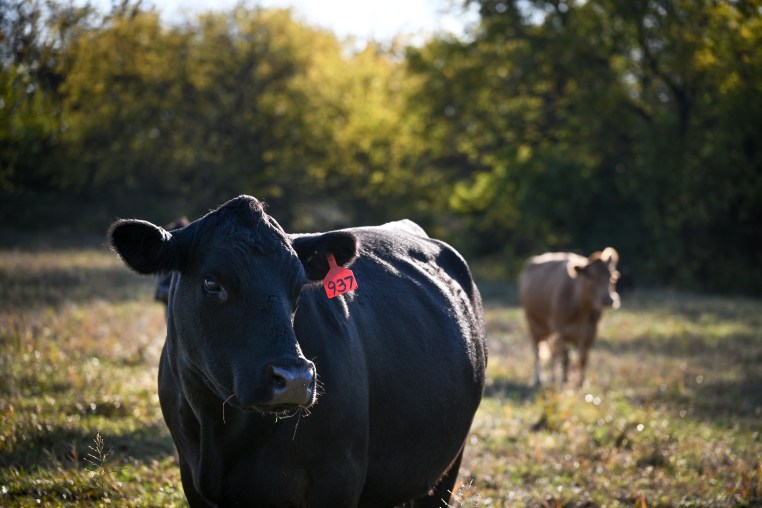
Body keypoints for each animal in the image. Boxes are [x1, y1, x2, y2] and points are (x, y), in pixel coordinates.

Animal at [108, 195, 487, 507]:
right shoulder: (193, 479)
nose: (294, 379)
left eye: (298, 285)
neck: (222, 430)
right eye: (212, 283)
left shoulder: (339, 476)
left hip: (444, 471)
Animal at [519, 247, 620, 387]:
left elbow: (583, 358)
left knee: (554, 353)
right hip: (533, 324)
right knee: (537, 352)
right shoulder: (562, 330)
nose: (608, 299)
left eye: (613, 276)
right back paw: (538, 379)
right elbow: (565, 358)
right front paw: (564, 381)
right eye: (591, 277)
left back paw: (553, 378)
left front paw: (581, 383)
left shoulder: (591, 332)